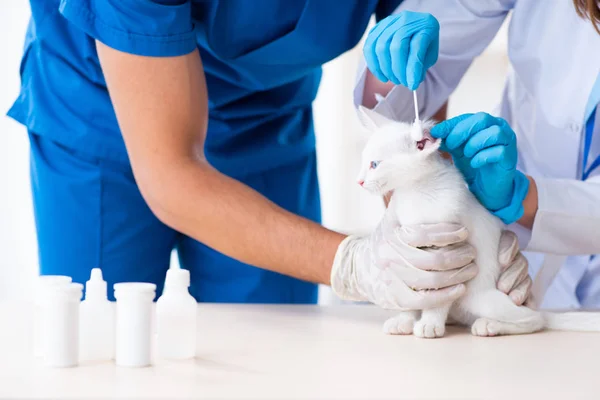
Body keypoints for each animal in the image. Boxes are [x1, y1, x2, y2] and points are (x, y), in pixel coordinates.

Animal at [356, 106, 600, 338]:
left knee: (534, 320)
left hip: (480, 298)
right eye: (363, 162)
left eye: (374, 164)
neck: (416, 191)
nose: (359, 181)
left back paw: (490, 325)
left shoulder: (446, 247)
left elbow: (438, 298)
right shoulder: (411, 252)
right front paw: (404, 319)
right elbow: (410, 294)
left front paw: (430, 323)